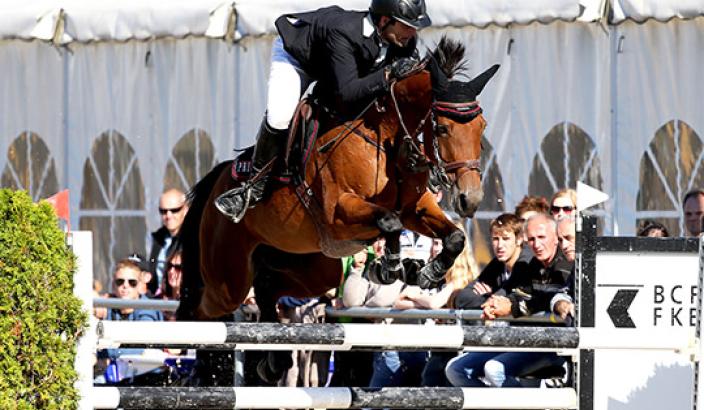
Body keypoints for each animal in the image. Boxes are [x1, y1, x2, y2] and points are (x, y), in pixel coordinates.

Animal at [179, 37, 500, 384]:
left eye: (482, 127)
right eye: (441, 129)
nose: (470, 199)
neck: (386, 137)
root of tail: (219, 179)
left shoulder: (416, 208)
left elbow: (452, 237)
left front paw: (426, 272)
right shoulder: (339, 212)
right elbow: (389, 220)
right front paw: (391, 267)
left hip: (315, 269)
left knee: (267, 285)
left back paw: (273, 361)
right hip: (228, 278)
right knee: (202, 309)